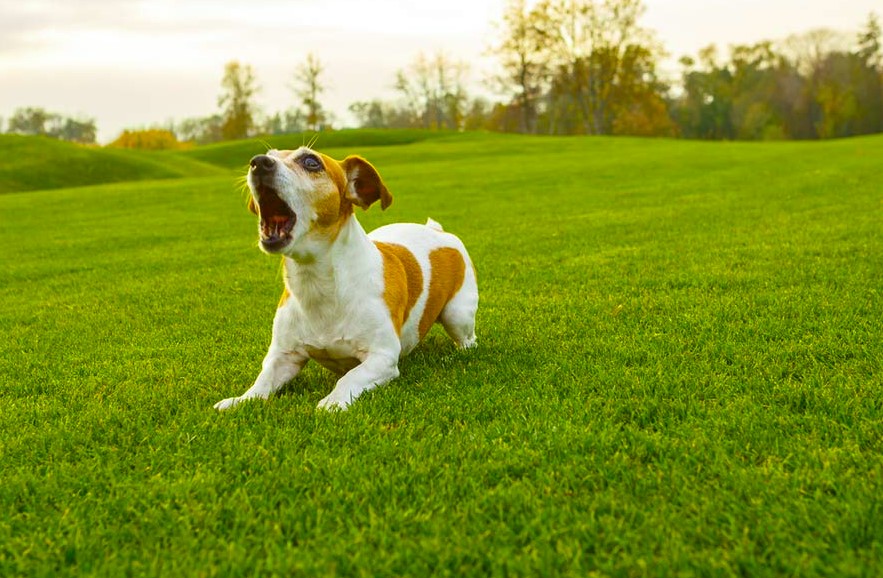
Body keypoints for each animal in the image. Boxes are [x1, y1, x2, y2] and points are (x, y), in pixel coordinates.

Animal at [212, 148, 476, 410]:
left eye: (311, 162)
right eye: (270, 154)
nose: (258, 162)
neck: (318, 284)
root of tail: (437, 231)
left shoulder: (382, 357)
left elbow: (350, 377)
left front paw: (333, 401)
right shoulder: (283, 356)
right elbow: (263, 382)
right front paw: (241, 400)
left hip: (457, 315)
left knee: (467, 340)